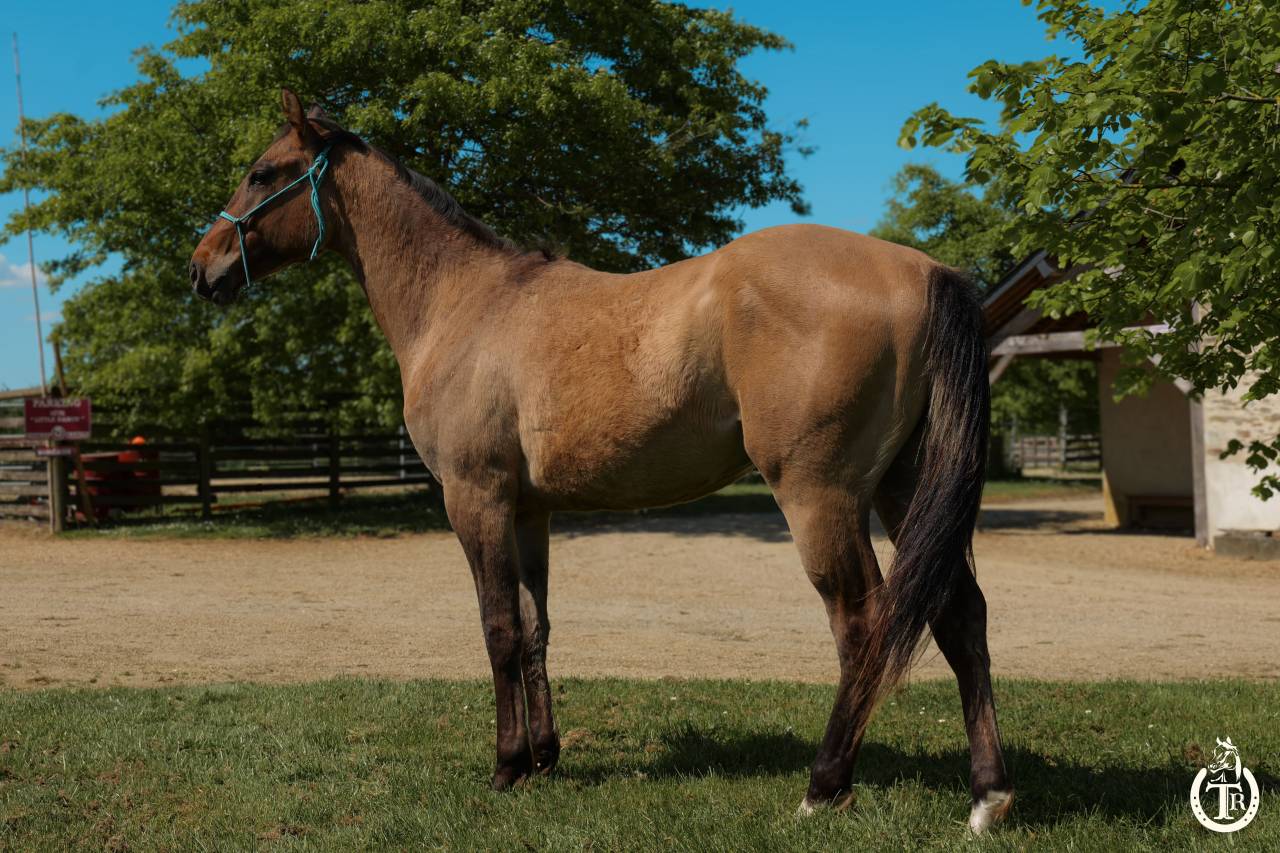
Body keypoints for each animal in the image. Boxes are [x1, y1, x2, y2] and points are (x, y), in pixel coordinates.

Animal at [190, 89, 1012, 832]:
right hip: (903, 489)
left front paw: (504, 767)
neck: (465, 304)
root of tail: (923, 271)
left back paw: (825, 786)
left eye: (263, 173)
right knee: (961, 615)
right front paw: (543, 758)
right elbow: (535, 626)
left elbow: (496, 628)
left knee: (863, 623)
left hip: (821, 497)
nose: (203, 267)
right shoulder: (529, 509)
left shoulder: (474, 498)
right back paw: (988, 796)